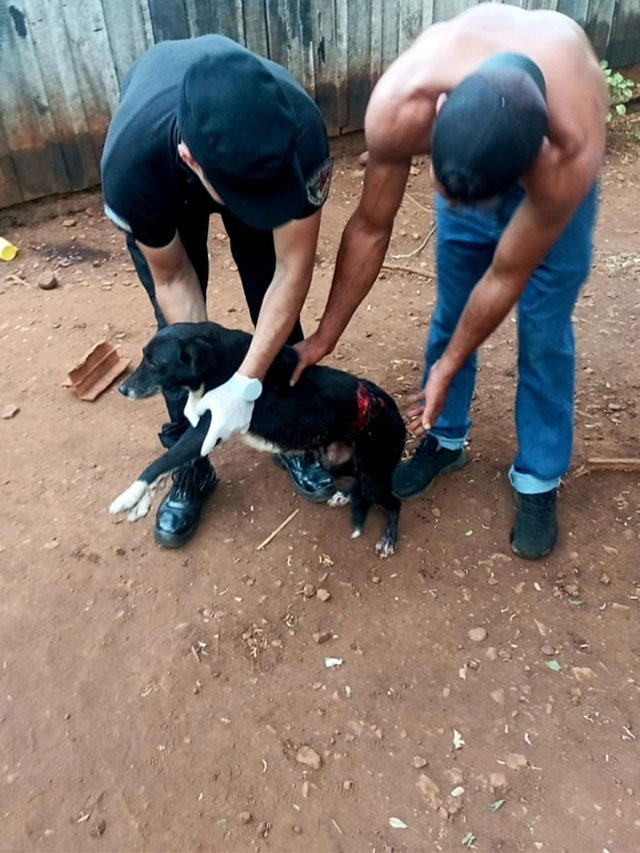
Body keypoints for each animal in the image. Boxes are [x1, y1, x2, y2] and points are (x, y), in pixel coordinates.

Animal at [109, 322, 406, 557]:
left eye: (155, 363)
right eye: (144, 358)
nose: (122, 389)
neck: (221, 363)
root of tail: (390, 407)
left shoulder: (207, 428)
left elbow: (161, 461)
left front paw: (127, 497)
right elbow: (170, 463)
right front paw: (142, 502)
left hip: (373, 473)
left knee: (394, 501)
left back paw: (388, 539)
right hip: (338, 460)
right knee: (357, 484)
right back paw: (343, 496)